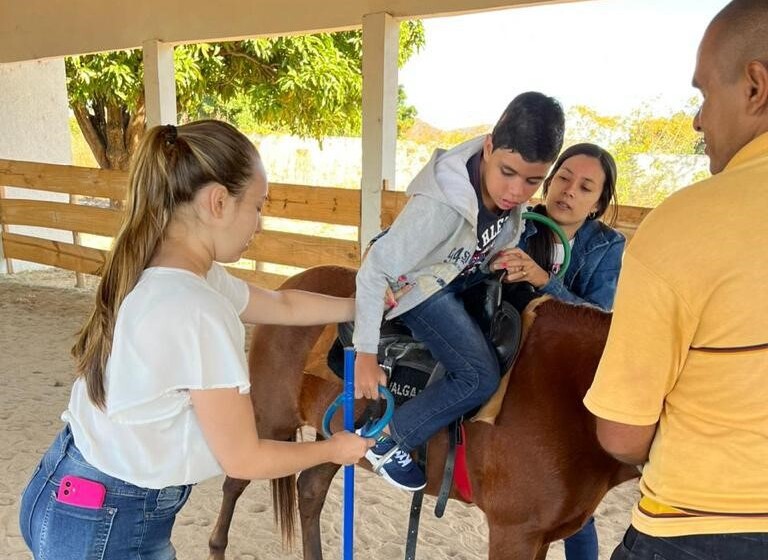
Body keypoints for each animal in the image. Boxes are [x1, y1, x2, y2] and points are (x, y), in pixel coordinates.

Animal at [204, 264, 636, 556]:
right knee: (236, 483)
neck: (566, 390)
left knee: (309, 489)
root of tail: (288, 287)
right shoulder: (516, 532)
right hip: (271, 421)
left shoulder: (543, 535)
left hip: (335, 438)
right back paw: (216, 546)